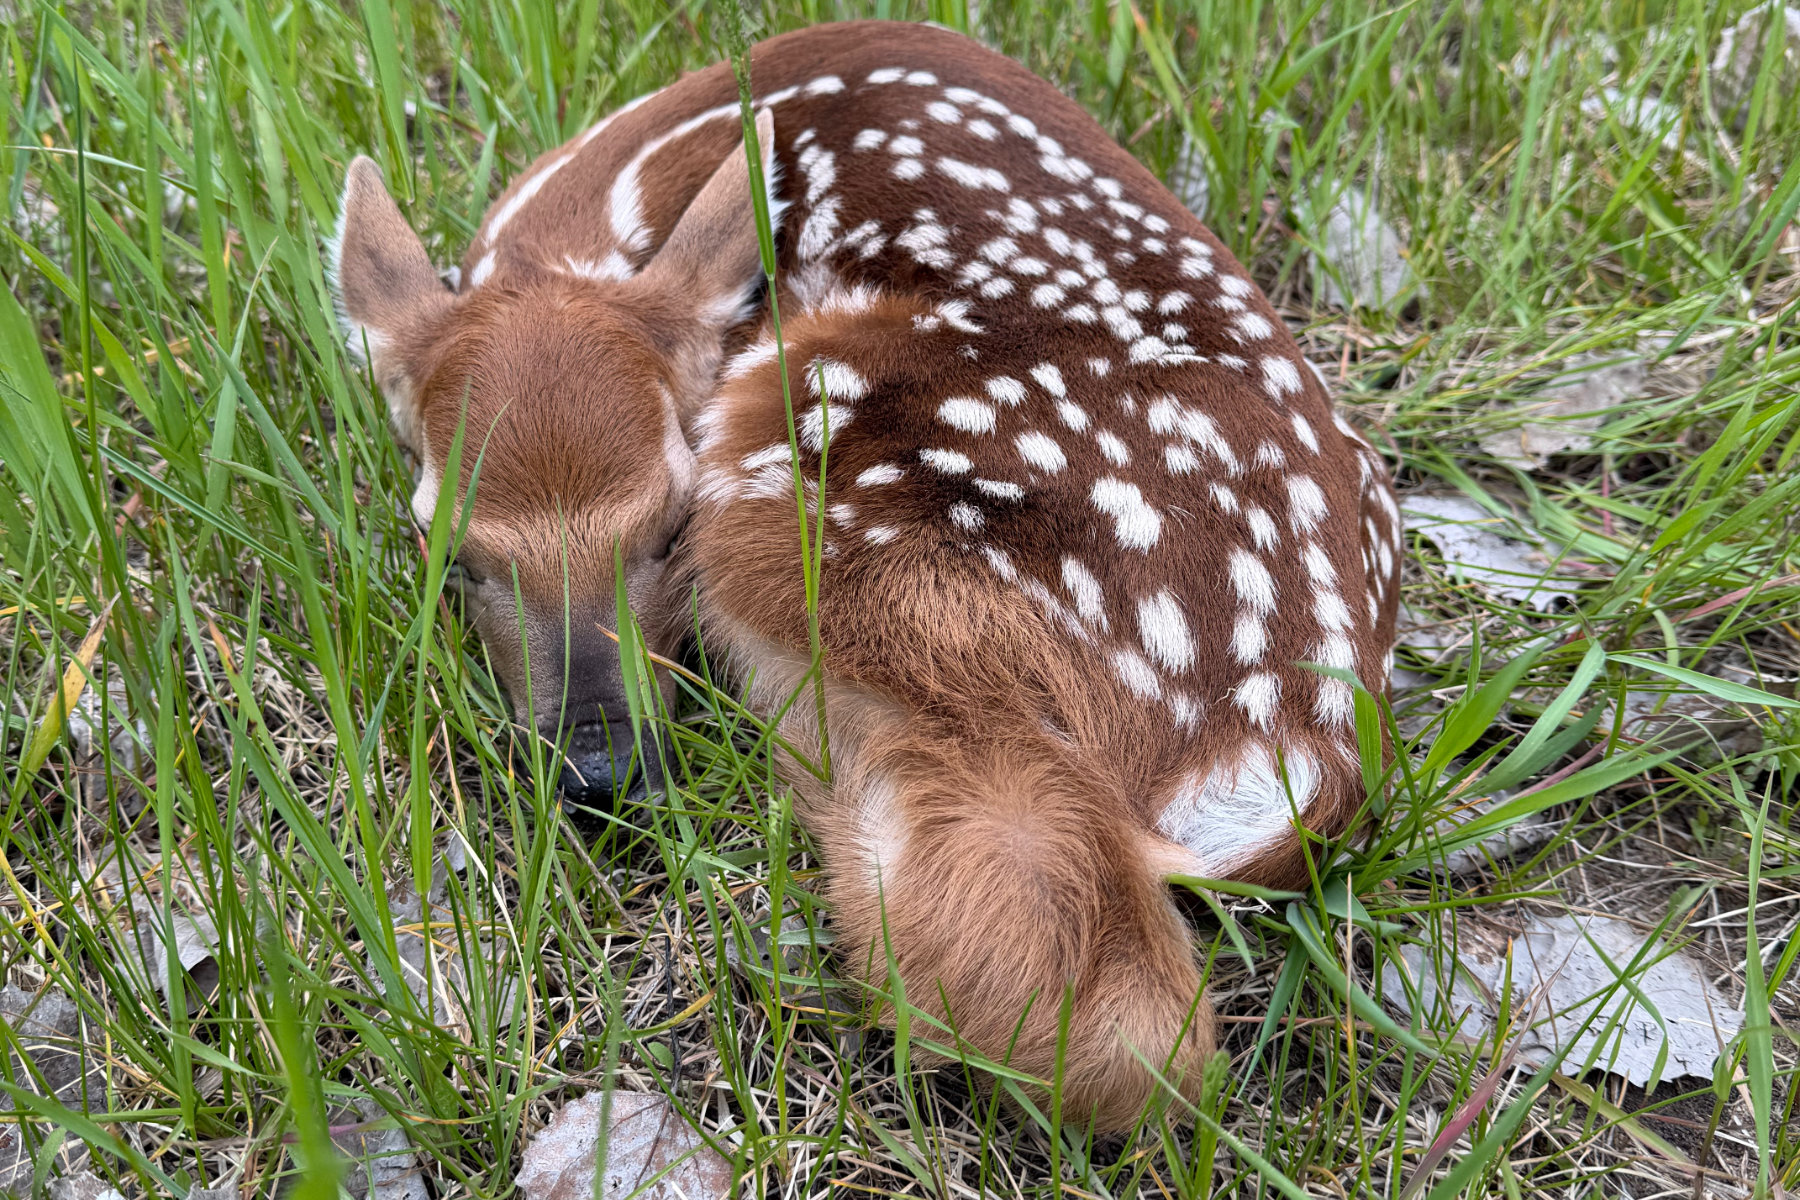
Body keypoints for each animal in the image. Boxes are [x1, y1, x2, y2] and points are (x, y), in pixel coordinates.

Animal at [329, 19, 1402, 1131]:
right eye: (450, 554)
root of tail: (1295, 741)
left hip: (820, 442)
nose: (601, 765)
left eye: (670, 529)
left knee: (1097, 998)